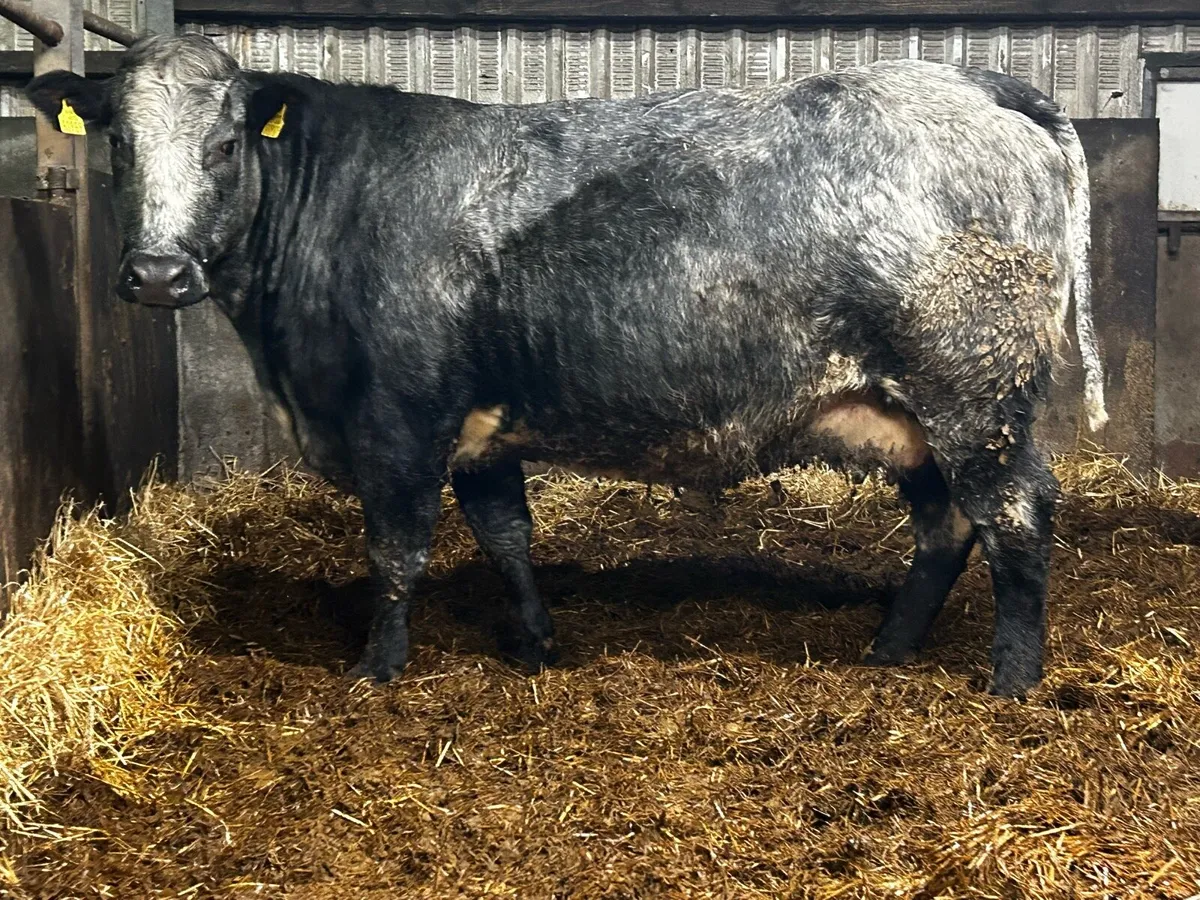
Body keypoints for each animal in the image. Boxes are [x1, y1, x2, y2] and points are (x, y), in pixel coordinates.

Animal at [27, 34, 1106, 698]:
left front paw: (377, 667)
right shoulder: (481, 430)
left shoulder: (399, 421)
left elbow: (395, 552)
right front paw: (536, 642)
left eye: (222, 144)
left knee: (1015, 516)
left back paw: (1011, 679)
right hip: (907, 413)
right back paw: (887, 650)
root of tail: (974, 82)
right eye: (119, 143)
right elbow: (507, 535)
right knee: (945, 528)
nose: (157, 273)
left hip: (973, 393)